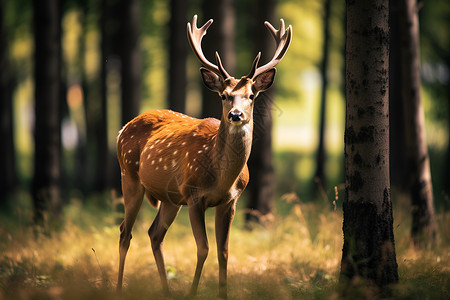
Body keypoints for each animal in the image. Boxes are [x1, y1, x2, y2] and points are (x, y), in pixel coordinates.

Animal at [116, 14, 292, 300]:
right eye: (224, 95)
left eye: (251, 96)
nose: (235, 115)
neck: (221, 177)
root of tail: (123, 128)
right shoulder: (194, 195)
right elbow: (204, 248)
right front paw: (192, 292)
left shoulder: (230, 201)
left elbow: (224, 251)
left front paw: (223, 294)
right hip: (129, 175)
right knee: (125, 232)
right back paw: (119, 287)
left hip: (170, 198)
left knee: (154, 234)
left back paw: (166, 291)